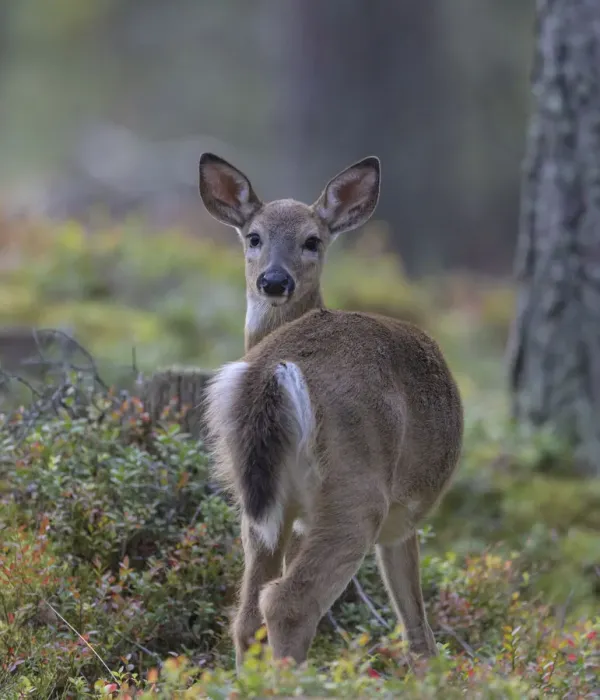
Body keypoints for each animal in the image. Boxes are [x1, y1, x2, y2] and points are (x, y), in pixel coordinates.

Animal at [198, 152, 464, 670]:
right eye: (253, 236)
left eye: (312, 240)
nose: (274, 281)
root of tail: (273, 369)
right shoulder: (404, 516)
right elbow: (415, 622)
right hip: (356, 486)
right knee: (287, 602)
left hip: (258, 497)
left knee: (245, 615)